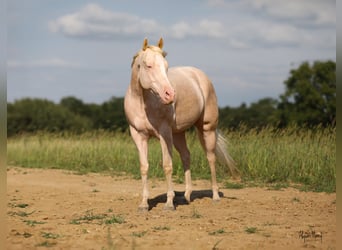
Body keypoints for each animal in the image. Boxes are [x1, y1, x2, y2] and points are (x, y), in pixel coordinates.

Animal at [123, 37, 238, 211]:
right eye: (148, 66)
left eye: (166, 66)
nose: (170, 95)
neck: (143, 102)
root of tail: (200, 76)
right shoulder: (138, 135)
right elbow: (144, 167)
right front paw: (143, 204)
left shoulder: (164, 134)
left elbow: (167, 165)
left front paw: (169, 204)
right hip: (178, 134)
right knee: (186, 156)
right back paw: (186, 196)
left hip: (206, 128)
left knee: (211, 158)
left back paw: (215, 196)